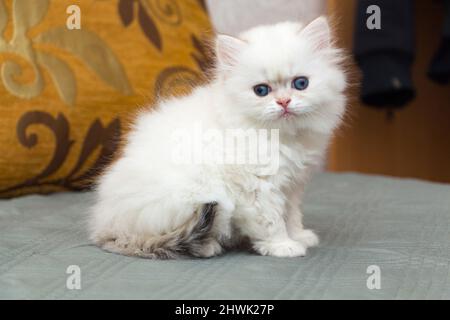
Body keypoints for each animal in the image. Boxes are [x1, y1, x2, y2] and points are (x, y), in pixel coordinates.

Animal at [89, 16, 348, 258]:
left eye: (301, 83)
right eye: (261, 90)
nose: (284, 102)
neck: (282, 137)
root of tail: (107, 227)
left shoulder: (292, 185)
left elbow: (292, 215)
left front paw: (299, 236)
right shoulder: (258, 188)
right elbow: (272, 220)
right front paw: (283, 245)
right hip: (192, 198)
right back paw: (210, 246)